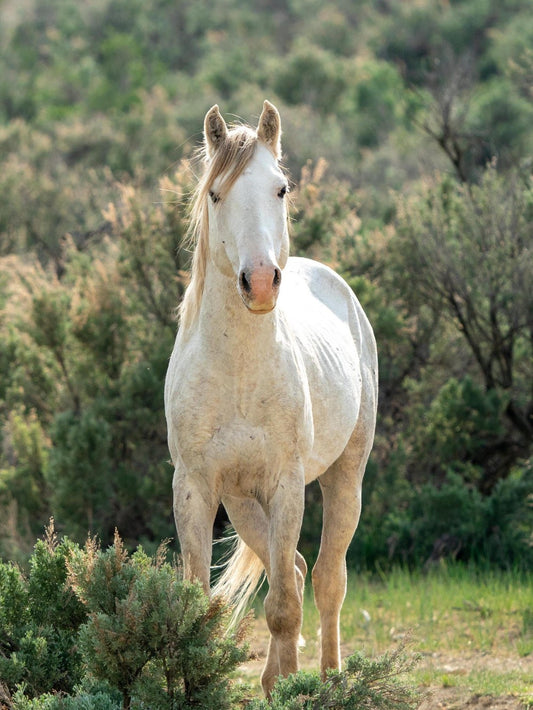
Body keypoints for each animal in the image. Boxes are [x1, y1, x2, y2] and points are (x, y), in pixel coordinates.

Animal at [164, 100, 378, 696]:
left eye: (280, 189)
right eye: (216, 194)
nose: (260, 283)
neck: (239, 372)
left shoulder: (286, 484)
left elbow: (283, 607)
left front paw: (288, 689)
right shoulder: (196, 486)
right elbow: (198, 604)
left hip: (345, 474)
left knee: (326, 580)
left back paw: (329, 679)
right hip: (240, 500)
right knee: (300, 570)